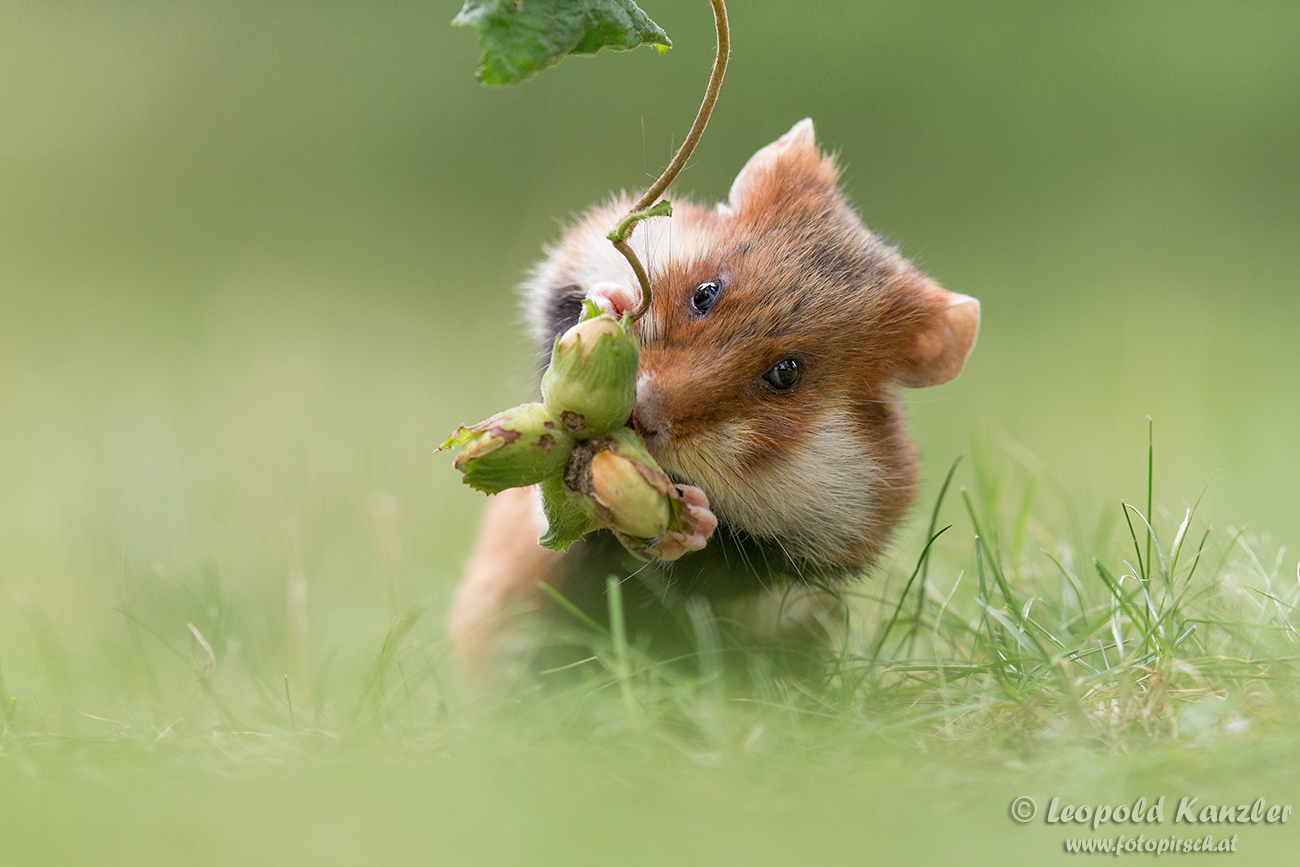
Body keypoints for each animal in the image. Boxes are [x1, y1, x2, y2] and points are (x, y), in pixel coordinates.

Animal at [447, 118, 977, 686]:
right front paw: (612, 302)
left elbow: (723, 564)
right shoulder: (566, 271)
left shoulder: (827, 540)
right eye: (705, 292)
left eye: (787, 373)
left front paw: (695, 517)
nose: (640, 413)